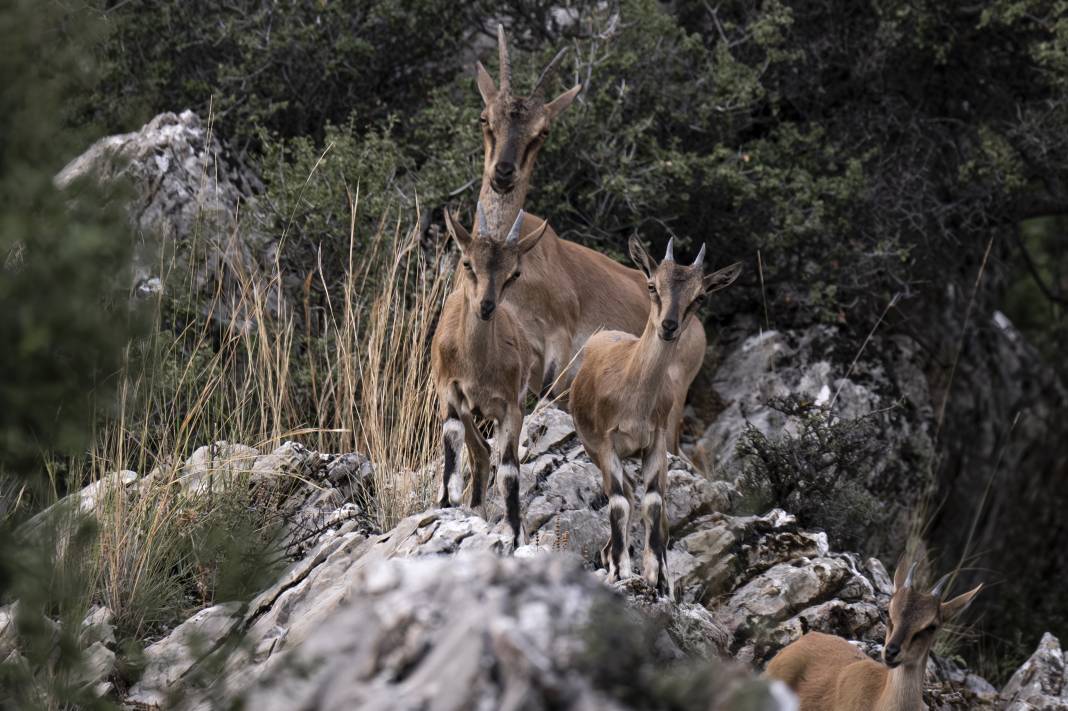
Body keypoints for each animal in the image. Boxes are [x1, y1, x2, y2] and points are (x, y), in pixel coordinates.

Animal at [429, 201, 546, 544]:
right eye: (468, 263)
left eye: (514, 273)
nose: (486, 306)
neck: (477, 366)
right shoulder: (449, 390)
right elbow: (452, 435)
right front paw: (448, 499)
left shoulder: (511, 407)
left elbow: (509, 468)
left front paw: (514, 530)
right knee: (477, 448)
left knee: (483, 450)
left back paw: (478, 507)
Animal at [568, 234, 743, 589]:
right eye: (652, 285)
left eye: (700, 296)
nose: (669, 326)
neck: (633, 394)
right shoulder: (606, 444)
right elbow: (619, 501)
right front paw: (620, 569)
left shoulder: (656, 444)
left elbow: (652, 501)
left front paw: (656, 575)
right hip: (593, 448)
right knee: (622, 492)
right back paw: (610, 554)